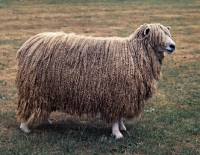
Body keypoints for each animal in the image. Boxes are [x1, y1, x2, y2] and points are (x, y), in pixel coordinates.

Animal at [15, 23, 175, 139]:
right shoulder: (115, 94)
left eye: (167, 34)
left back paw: (46, 121)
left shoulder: (124, 95)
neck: (132, 53)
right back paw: (24, 127)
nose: (173, 46)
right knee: (26, 106)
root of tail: (28, 44)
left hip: (46, 89)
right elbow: (115, 116)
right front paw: (117, 133)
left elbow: (120, 115)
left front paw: (122, 127)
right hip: (31, 88)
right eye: (157, 36)